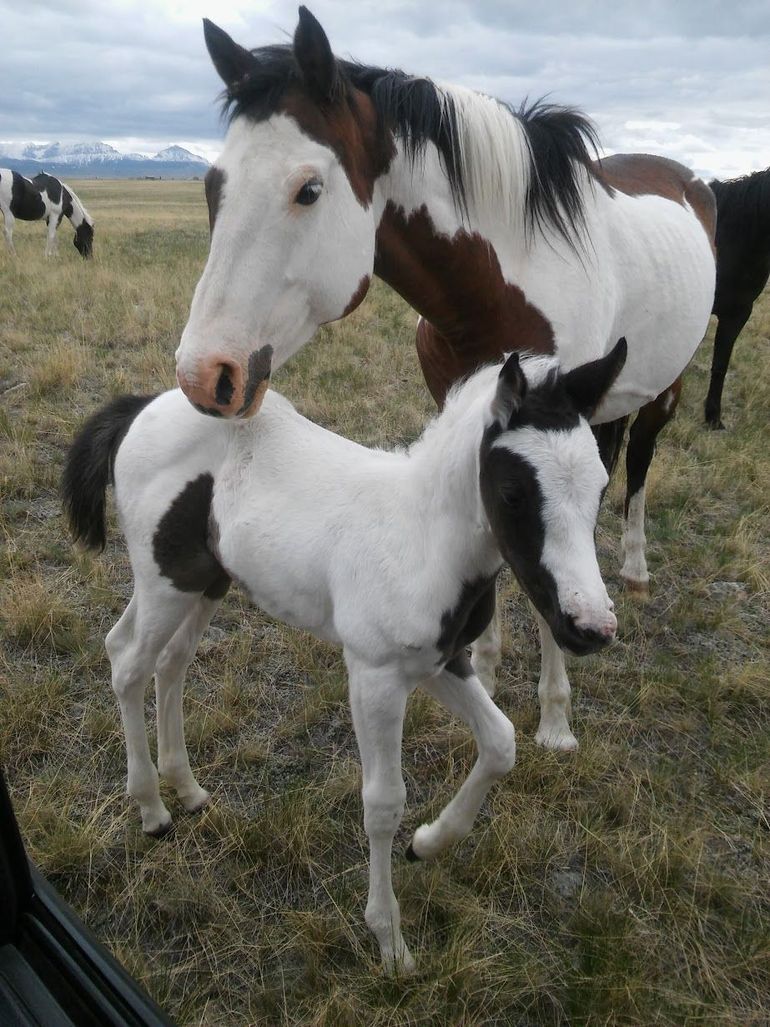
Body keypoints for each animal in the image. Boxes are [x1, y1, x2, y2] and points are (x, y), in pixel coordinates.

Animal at [61, 338, 628, 969]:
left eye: (603, 486)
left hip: (206, 581)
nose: (590, 627)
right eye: (513, 492)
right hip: (167, 578)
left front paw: (428, 843)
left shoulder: (440, 662)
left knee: (168, 661)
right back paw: (151, 810)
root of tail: (142, 407)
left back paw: (186, 790)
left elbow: (502, 742)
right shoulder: (374, 675)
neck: (423, 541)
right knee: (128, 663)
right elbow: (383, 803)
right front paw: (390, 942)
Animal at [176, 6, 718, 747]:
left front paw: (555, 719)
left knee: (637, 462)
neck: (500, 282)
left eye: (308, 189)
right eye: (213, 186)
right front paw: (484, 671)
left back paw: (632, 566)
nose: (205, 375)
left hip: (668, 387)